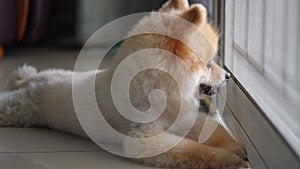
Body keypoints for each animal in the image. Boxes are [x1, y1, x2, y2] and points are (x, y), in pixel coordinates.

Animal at [0, 0, 248, 168]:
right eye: (209, 64)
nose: (227, 76)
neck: (161, 91)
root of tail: (36, 81)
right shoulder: (144, 138)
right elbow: (195, 150)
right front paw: (229, 160)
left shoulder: (187, 120)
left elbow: (215, 132)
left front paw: (236, 148)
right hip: (19, 108)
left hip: (52, 75)